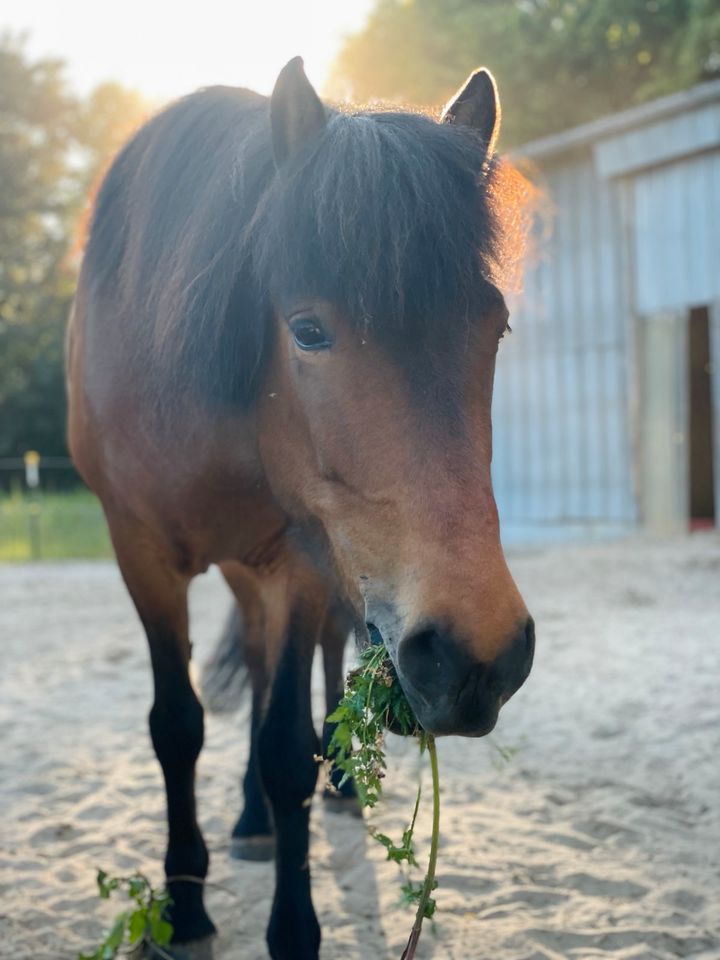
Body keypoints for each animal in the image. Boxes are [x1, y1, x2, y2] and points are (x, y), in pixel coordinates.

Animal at [66, 56, 536, 956]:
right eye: (309, 329)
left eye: (494, 327)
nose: (479, 657)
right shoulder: (139, 553)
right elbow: (176, 726)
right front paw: (184, 908)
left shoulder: (298, 559)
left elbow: (287, 749)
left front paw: (292, 925)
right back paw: (250, 823)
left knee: (311, 662)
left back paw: (336, 787)